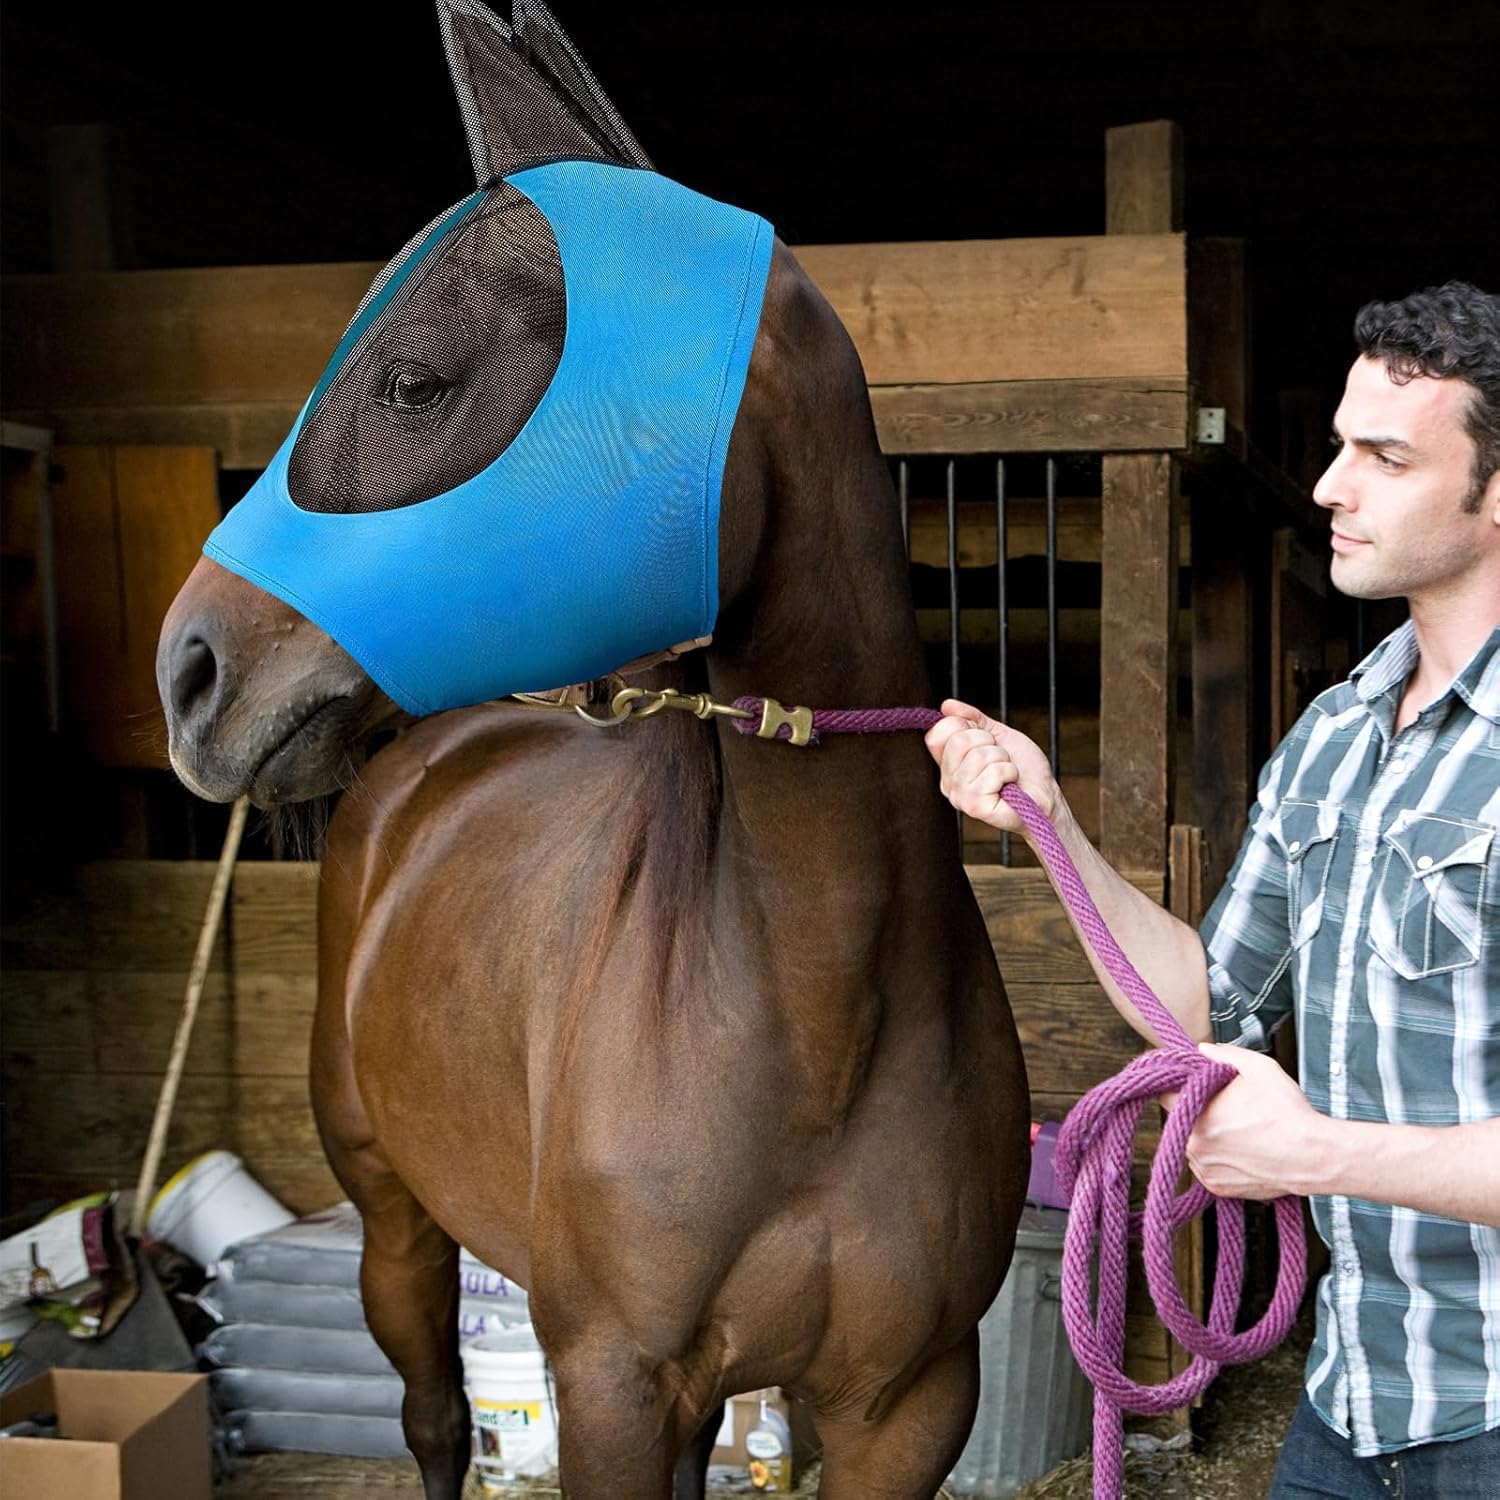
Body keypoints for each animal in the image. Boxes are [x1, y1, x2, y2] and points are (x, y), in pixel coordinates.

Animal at [155, 3, 1029, 1496]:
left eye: (413, 380)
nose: (189, 671)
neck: (817, 1017)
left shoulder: (905, 1405)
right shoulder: (615, 1384)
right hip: (400, 1228)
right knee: (434, 1422)